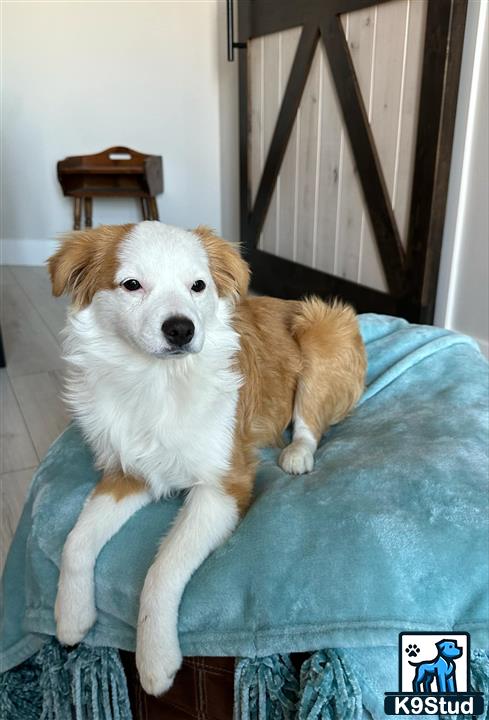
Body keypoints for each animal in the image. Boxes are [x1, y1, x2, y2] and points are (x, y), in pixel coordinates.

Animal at [47, 222, 364, 696]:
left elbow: (162, 570)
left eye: (198, 286)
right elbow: (75, 541)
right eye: (132, 284)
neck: (156, 381)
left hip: (322, 330)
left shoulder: (223, 487)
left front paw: (155, 659)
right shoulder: (127, 474)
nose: (181, 329)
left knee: (310, 421)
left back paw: (296, 454)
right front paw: (70, 616)